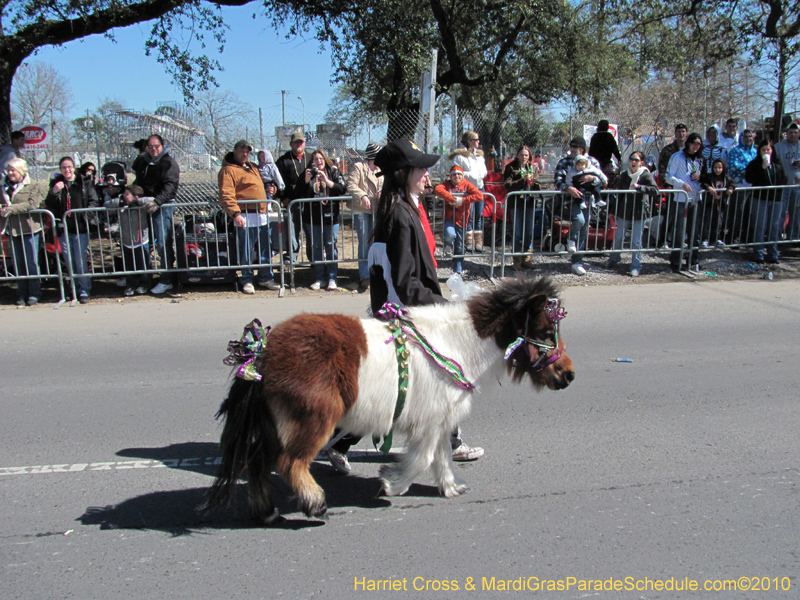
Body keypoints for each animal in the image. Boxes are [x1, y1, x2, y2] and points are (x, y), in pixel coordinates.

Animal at [206, 278, 576, 524]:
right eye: (545, 334)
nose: (569, 376)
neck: (457, 343)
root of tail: (262, 352)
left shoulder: (440, 420)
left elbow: (442, 456)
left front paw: (451, 487)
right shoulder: (431, 421)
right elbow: (424, 458)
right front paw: (390, 482)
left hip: (277, 424)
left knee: (258, 462)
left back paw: (266, 512)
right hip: (312, 420)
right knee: (289, 462)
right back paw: (315, 504)